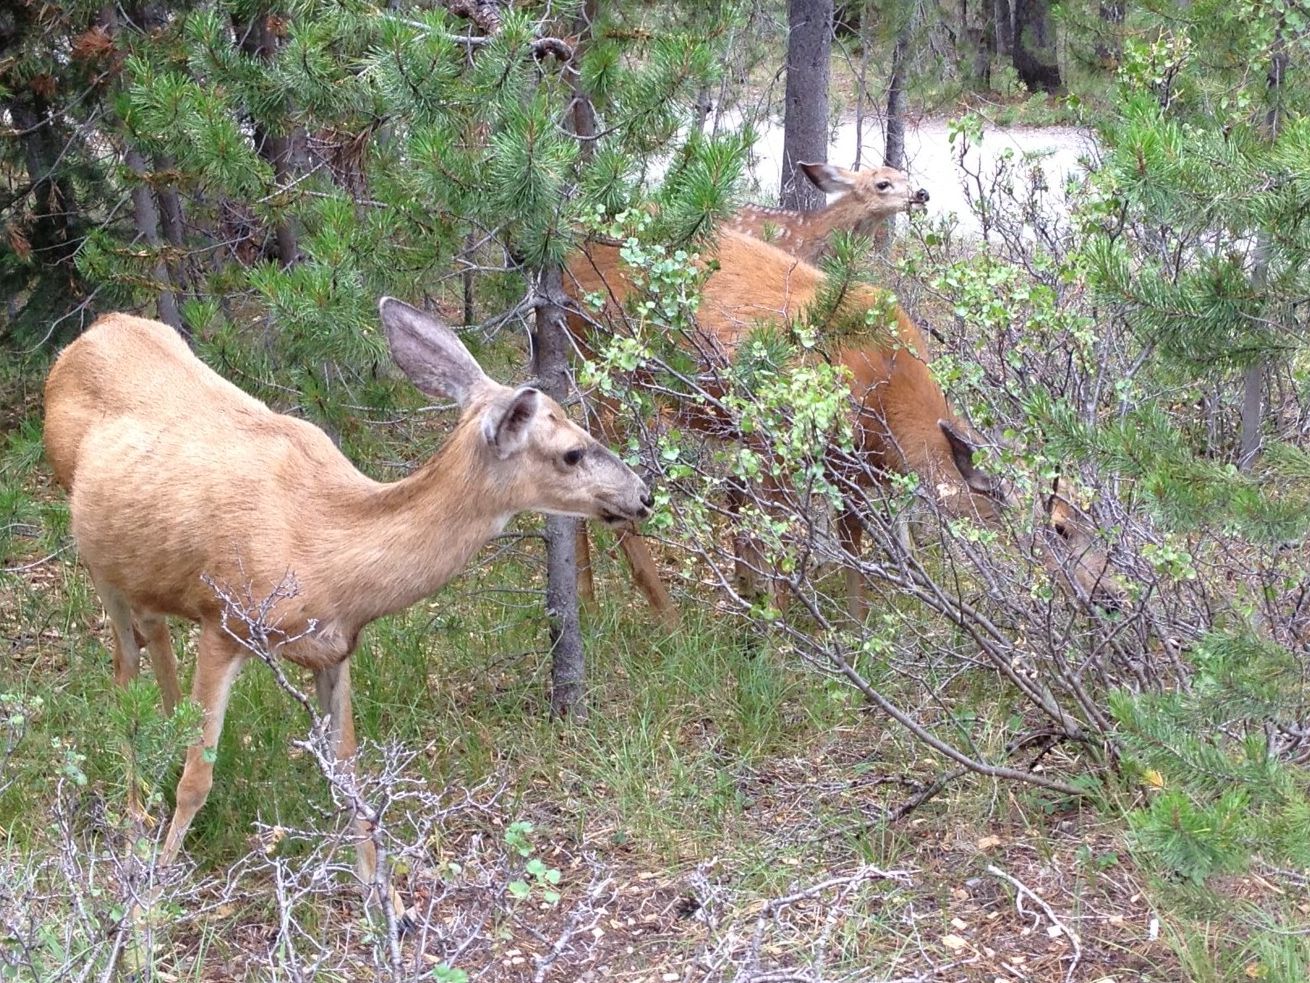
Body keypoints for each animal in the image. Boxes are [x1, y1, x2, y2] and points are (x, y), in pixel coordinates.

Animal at [43, 298, 652, 905]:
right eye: (572, 452)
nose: (643, 495)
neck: (325, 555)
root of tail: (95, 330)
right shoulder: (227, 623)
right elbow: (200, 778)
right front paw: (155, 892)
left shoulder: (335, 648)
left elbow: (349, 772)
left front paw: (384, 898)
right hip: (94, 558)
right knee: (125, 666)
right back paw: (136, 818)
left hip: (140, 565)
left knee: (155, 638)